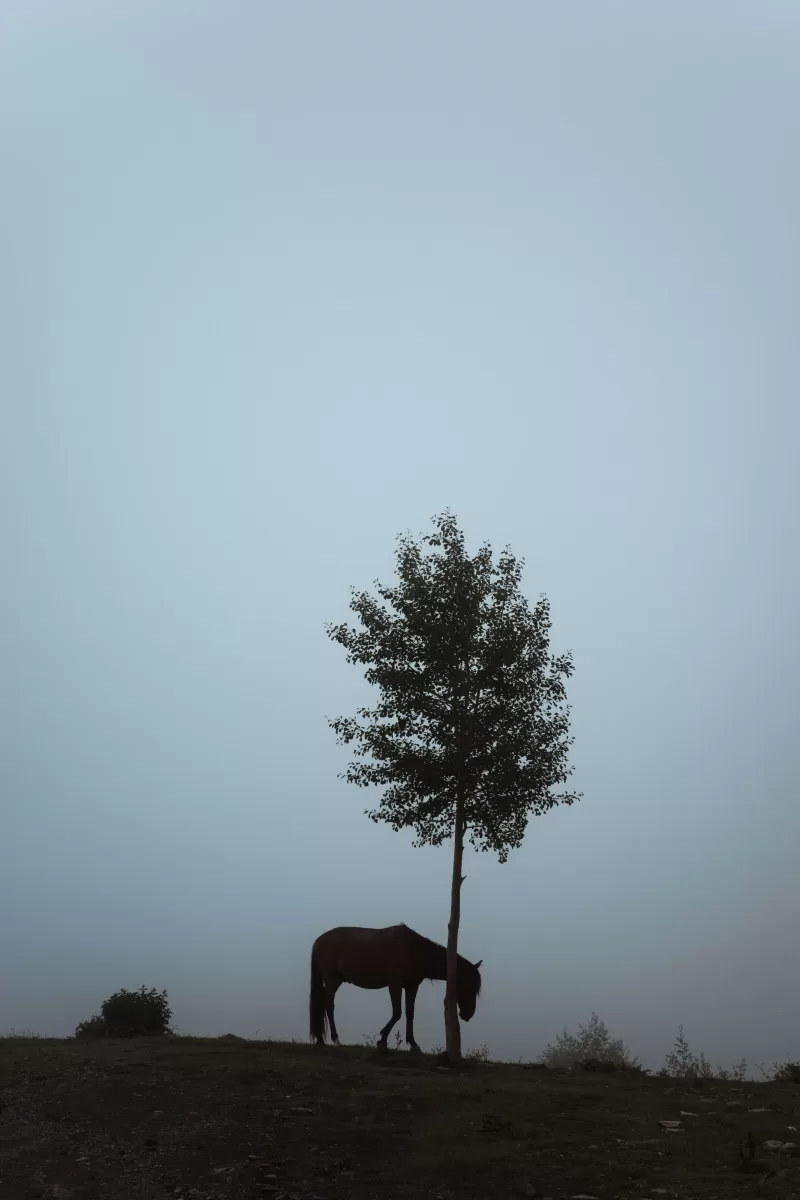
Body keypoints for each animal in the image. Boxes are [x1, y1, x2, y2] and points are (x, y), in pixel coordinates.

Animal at [309, 923, 482, 1052]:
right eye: (469, 985)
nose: (470, 1013)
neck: (414, 950)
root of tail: (318, 941)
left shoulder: (412, 986)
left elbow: (409, 1013)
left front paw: (413, 1044)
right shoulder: (395, 985)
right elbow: (397, 1012)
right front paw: (382, 1039)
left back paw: (320, 1038)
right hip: (332, 980)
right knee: (328, 1005)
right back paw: (335, 1039)